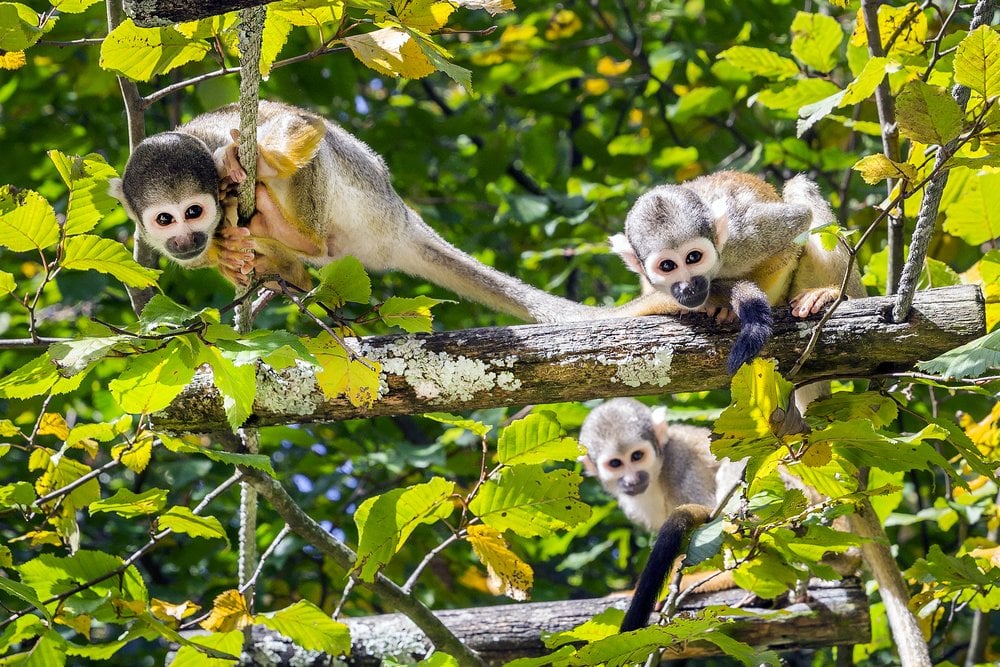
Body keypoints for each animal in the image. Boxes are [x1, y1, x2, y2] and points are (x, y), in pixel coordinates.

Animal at [110, 100, 688, 324]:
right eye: (165, 221)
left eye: (192, 211)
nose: (187, 239)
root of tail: (402, 221)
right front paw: (228, 260)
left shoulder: (219, 139)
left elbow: (299, 125)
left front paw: (252, 162)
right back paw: (283, 267)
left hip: (364, 189)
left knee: (316, 145)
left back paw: (293, 235)